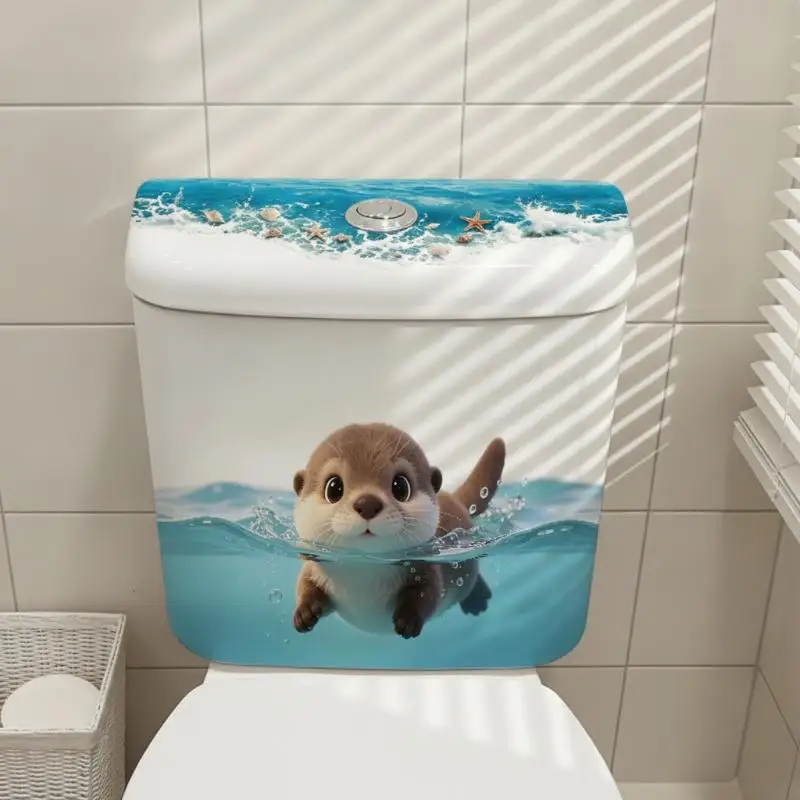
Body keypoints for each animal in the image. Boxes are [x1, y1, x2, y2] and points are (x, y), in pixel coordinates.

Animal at [291, 423, 505, 639]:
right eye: (333, 488)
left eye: (400, 486)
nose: (367, 503)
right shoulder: (313, 566)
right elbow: (306, 586)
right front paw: (304, 613)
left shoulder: (427, 567)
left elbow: (427, 593)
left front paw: (408, 620)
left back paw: (477, 600)